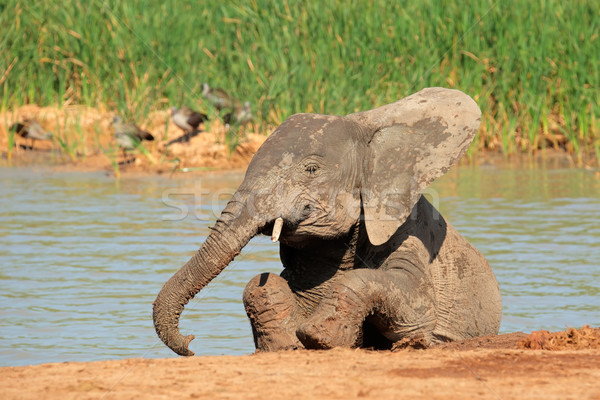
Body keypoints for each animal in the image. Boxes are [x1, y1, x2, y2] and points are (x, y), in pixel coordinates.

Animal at [154, 88, 502, 356]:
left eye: (311, 170)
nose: (191, 342)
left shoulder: (409, 234)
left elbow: (417, 309)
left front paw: (321, 337)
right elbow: (262, 285)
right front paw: (285, 343)